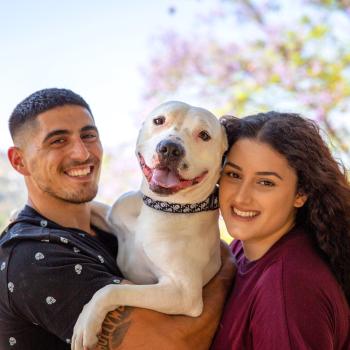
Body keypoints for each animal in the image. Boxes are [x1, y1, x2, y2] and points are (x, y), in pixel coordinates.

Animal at [72, 101, 228, 350]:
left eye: (204, 135)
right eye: (159, 120)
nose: (170, 148)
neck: (158, 207)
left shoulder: (182, 293)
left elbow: (113, 289)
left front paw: (87, 321)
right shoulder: (113, 217)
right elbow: (94, 207)